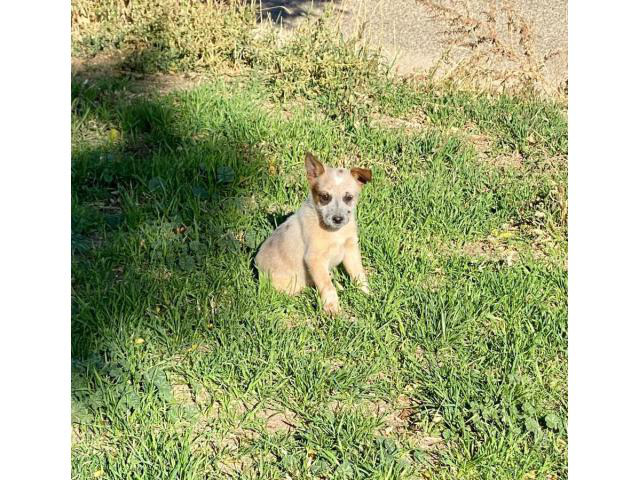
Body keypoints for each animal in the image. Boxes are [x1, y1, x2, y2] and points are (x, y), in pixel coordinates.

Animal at [254, 152, 370, 314]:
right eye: (325, 197)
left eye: (348, 197)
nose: (338, 219)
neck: (335, 233)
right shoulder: (315, 259)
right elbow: (327, 286)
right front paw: (333, 309)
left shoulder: (350, 250)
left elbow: (358, 274)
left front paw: (367, 295)